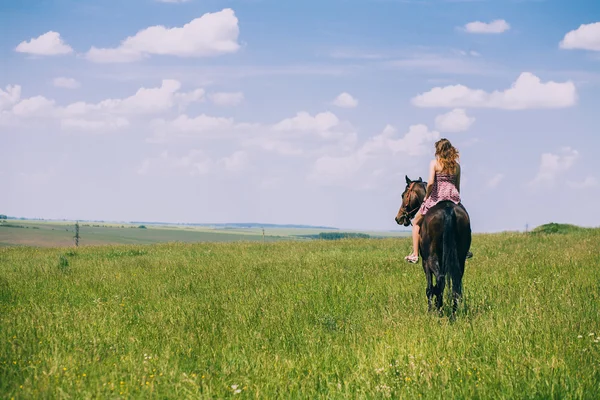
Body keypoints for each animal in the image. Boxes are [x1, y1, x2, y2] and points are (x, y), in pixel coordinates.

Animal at [394, 175, 474, 316]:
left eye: (403, 195)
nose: (398, 218)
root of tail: (448, 210)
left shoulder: (425, 262)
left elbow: (429, 287)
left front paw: (431, 308)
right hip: (460, 259)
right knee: (456, 282)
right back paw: (453, 312)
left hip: (431, 258)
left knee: (440, 280)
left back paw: (438, 310)